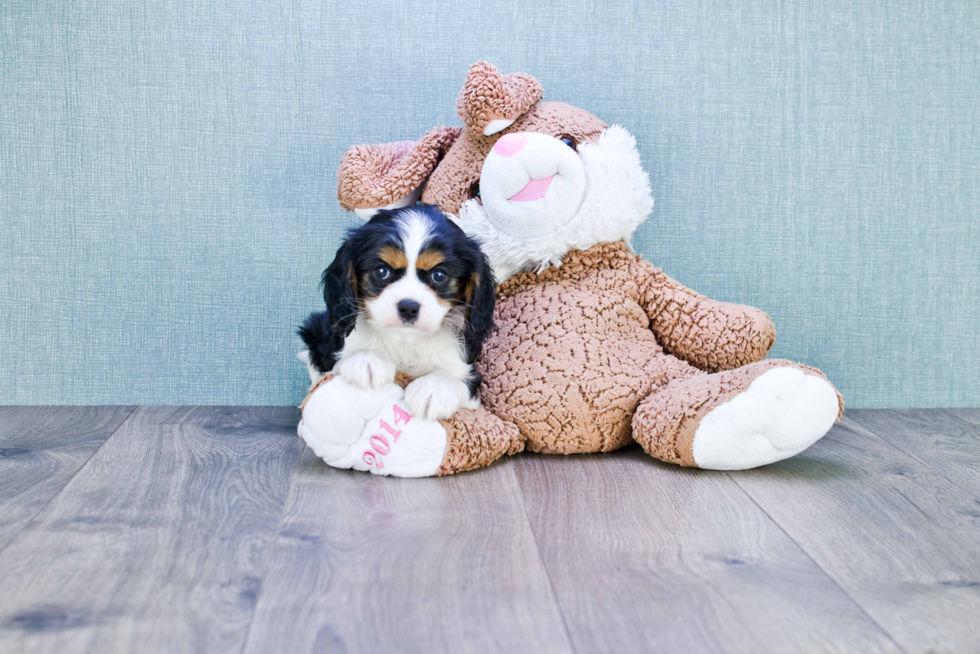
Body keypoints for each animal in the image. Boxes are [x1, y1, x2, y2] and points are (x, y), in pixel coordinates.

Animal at [296, 204, 498, 420]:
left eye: (439, 275)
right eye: (381, 271)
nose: (408, 307)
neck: (405, 339)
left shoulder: (469, 380)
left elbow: (452, 378)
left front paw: (433, 389)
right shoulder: (334, 358)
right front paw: (367, 360)